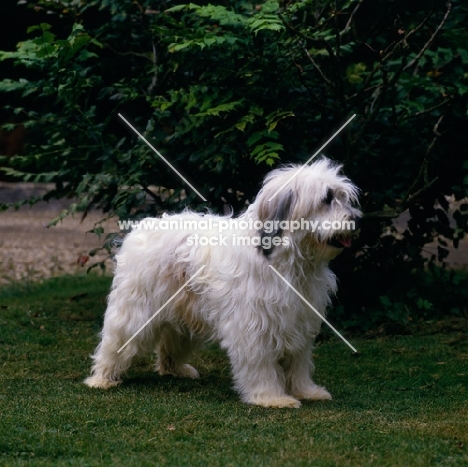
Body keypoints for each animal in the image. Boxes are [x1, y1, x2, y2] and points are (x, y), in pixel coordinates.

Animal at [85, 159, 362, 408]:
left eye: (344, 197)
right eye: (326, 199)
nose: (357, 220)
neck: (289, 260)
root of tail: (142, 228)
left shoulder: (299, 321)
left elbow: (298, 361)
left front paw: (305, 391)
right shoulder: (253, 325)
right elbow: (260, 364)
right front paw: (270, 397)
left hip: (185, 312)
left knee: (171, 341)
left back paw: (174, 369)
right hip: (135, 311)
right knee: (117, 341)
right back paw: (102, 377)